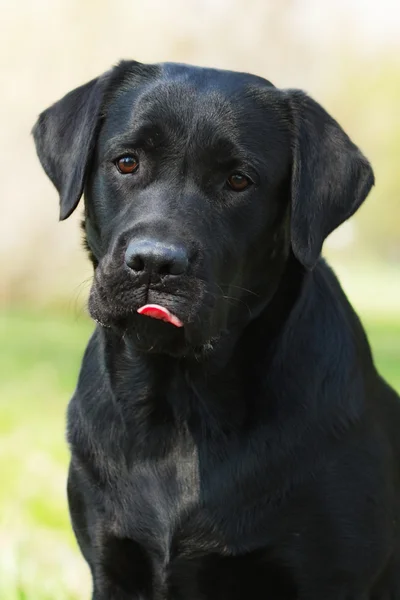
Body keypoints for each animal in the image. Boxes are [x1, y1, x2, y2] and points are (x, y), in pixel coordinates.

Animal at [32, 62, 400, 600]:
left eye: (238, 180)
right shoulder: (112, 563)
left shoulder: (328, 575)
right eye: (126, 162)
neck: (181, 411)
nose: (154, 263)